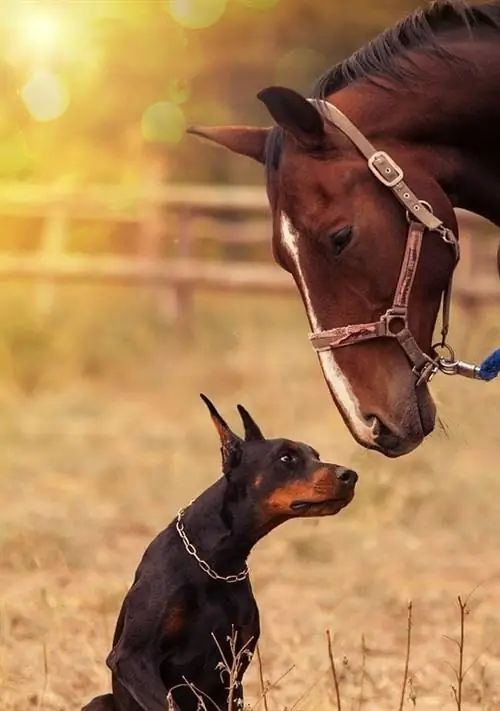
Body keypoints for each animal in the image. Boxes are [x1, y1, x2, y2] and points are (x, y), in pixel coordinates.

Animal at [82, 394, 358, 711]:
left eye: (315, 455)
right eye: (286, 457)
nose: (351, 475)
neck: (217, 560)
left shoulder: (235, 667)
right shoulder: (133, 658)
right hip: (100, 701)